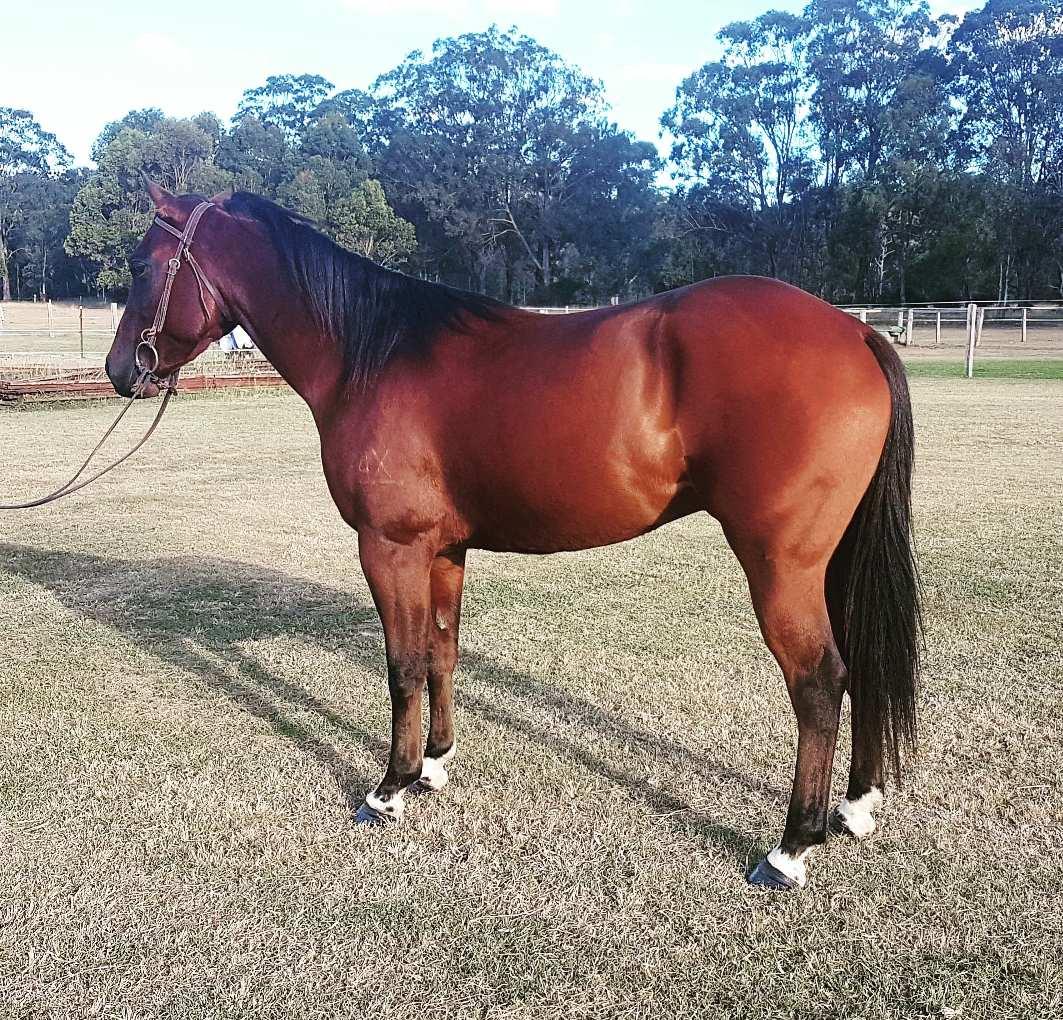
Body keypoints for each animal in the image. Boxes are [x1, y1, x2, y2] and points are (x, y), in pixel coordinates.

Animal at [105, 182, 920, 890]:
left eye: (141, 266)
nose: (119, 372)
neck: (374, 352)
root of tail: (854, 330)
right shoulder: (442, 551)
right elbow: (440, 652)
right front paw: (434, 765)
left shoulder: (389, 548)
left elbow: (402, 665)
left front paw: (389, 788)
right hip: (830, 560)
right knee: (862, 660)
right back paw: (854, 806)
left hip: (780, 565)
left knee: (818, 681)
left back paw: (789, 848)